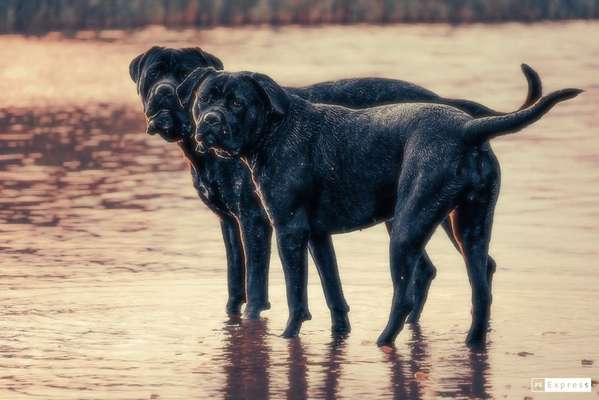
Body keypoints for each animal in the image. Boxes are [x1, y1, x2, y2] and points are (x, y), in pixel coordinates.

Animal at [130, 45, 540, 328]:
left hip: (421, 216)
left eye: (184, 71)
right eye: (153, 74)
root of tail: (448, 105)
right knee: (445, 268)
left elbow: (257, 285)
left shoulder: (256, 223)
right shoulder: (231, 224)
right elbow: (238, 280)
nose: (165, 93)